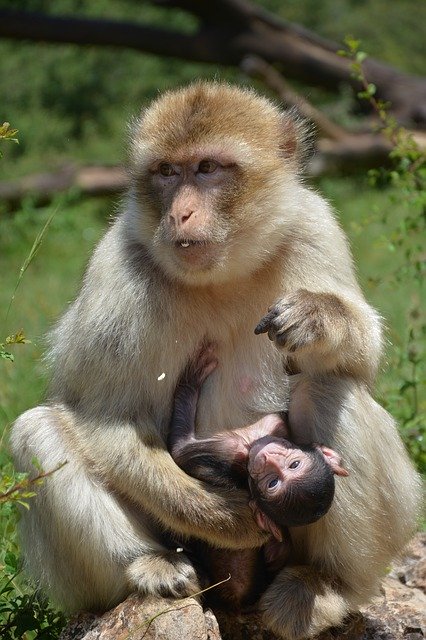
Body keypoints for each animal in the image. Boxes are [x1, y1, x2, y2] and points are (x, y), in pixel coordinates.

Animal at [168, 344, 348, 544]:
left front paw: (191, 380)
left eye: (272, 483)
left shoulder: (228, 449)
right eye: (295, 464)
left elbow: (179, 449)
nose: (269, 459)